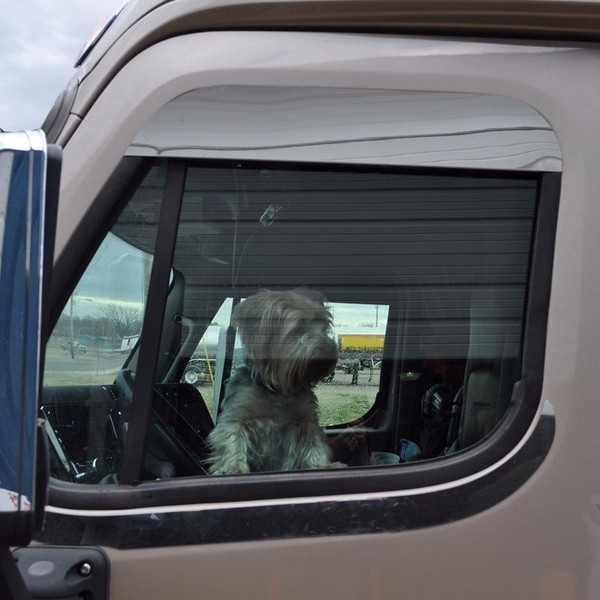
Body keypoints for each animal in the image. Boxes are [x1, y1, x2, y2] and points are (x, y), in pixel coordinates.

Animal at [206, 288, 342, 476]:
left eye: (324, 327)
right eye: (299, 328)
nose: (329, 348)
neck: (278, 388)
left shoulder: (305, 420)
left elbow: (313, 443)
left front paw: (322, 465)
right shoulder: (237, 416)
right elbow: (233, 440)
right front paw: (233, 468)